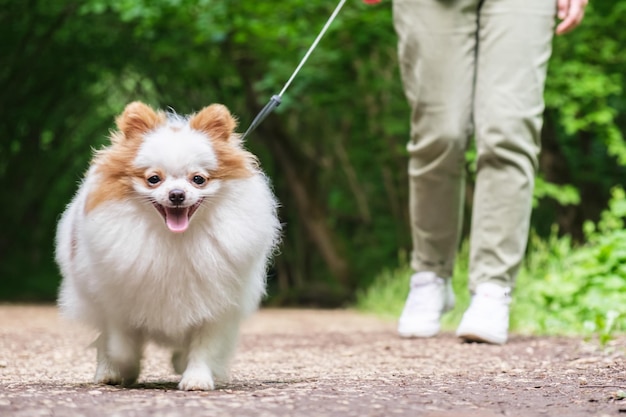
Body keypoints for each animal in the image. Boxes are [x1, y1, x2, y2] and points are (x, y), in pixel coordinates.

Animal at [56, 101, 280, 390]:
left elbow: (203, 346)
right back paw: (109, 372)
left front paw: (196, 377)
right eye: (154, 179)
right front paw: (125, 367)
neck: (174, 239)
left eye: (198, 179)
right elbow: (121, 343)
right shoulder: (118, 297)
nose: (177, 194)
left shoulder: (216, 305)